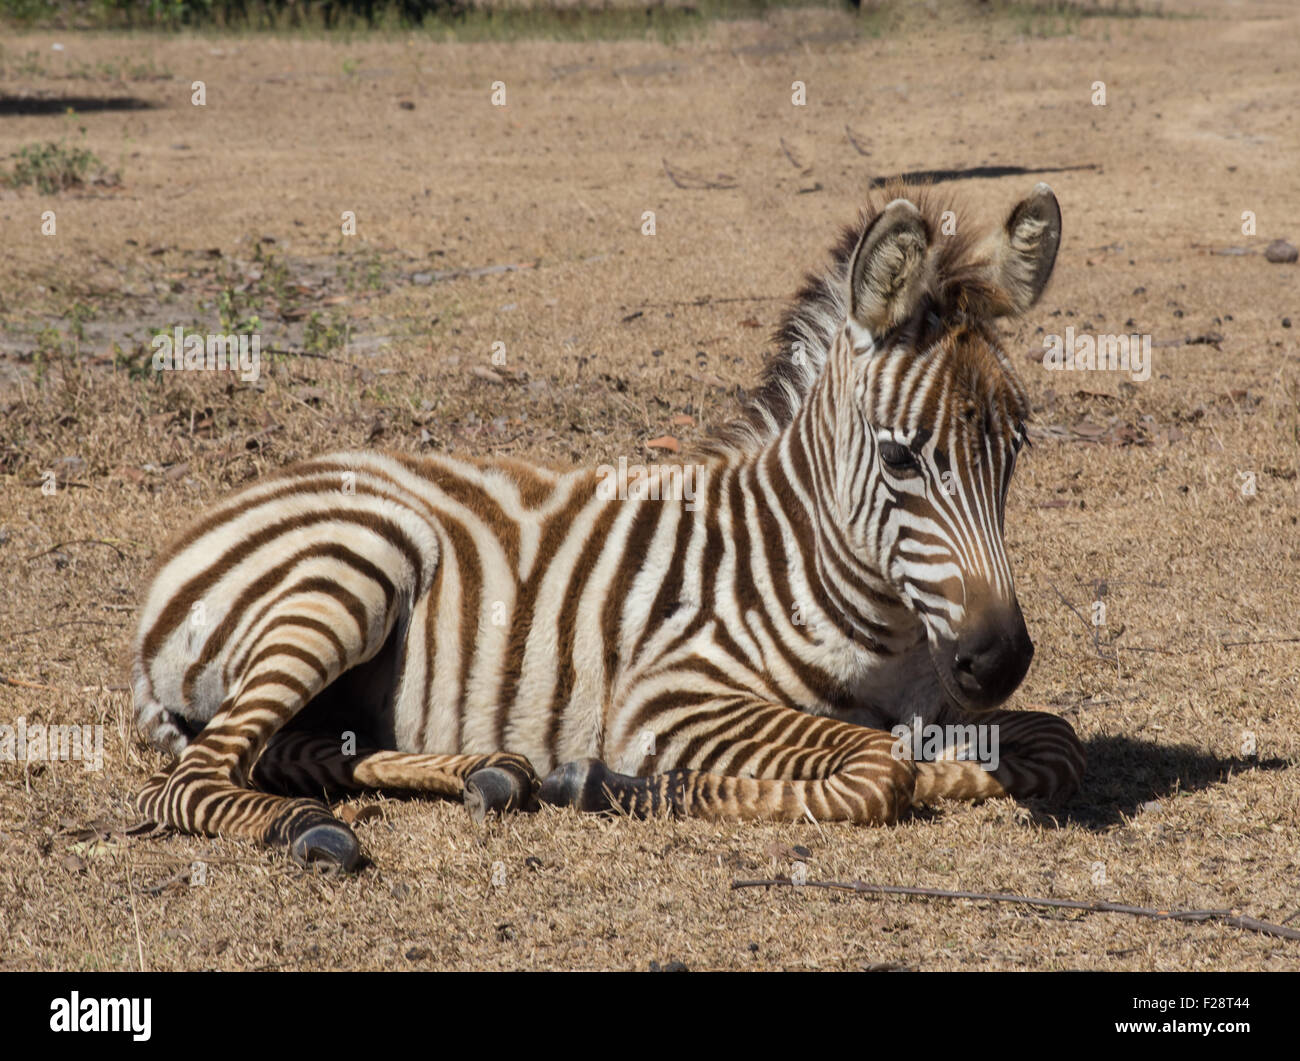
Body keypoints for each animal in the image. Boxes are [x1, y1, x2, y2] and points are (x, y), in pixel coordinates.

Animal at [131, 184, 1085, 870]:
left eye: (1017, 448)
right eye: (900, 459)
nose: (999, 658)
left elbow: (1054, 742)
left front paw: (958, 761)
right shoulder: (666, 694)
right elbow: (881, 770)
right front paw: (611, 783)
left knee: (289, 748)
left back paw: (489, 772)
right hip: (349, 572)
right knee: (190, 778)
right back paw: (308, 829)